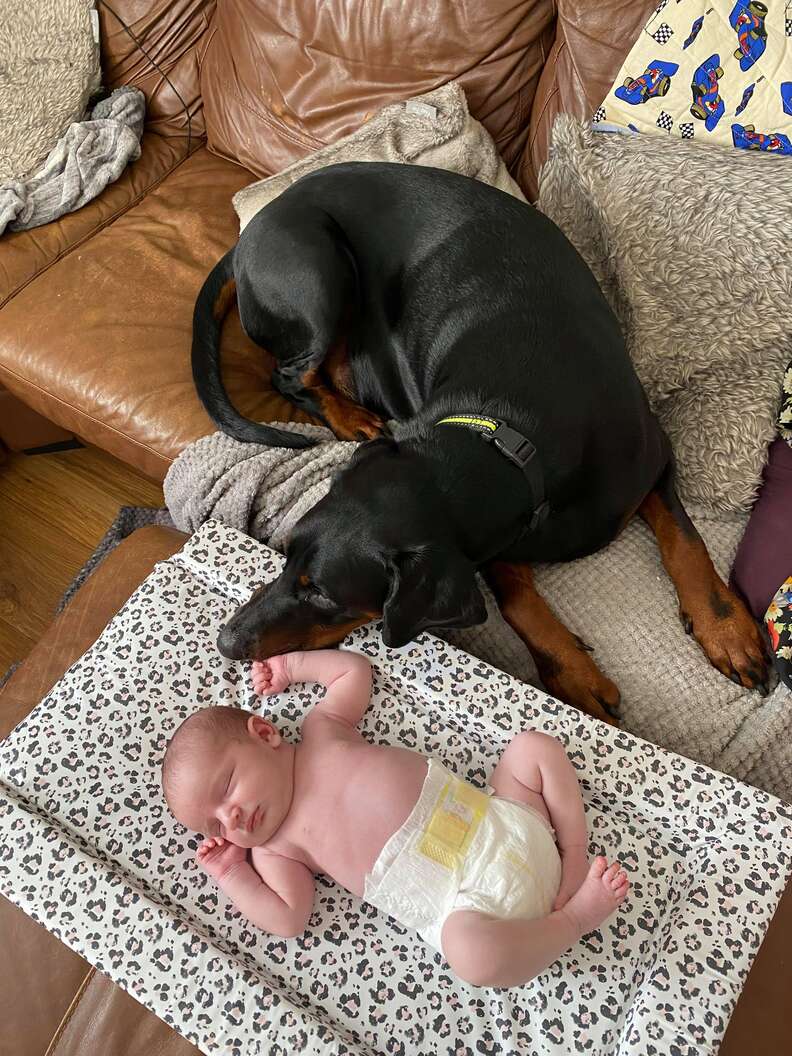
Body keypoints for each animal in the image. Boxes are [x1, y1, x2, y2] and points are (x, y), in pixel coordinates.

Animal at [194, 160, 768, 722]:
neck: (504, 438)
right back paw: (351, 416)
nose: (225, 640)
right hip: (315, 271)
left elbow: (685, 541)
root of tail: (254, 229)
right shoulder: (494, 537)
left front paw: (728, 631)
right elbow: (514, 596)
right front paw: (574, 673)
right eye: (286, 554)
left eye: (323, 595)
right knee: (291, 375)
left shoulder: (652, 453)